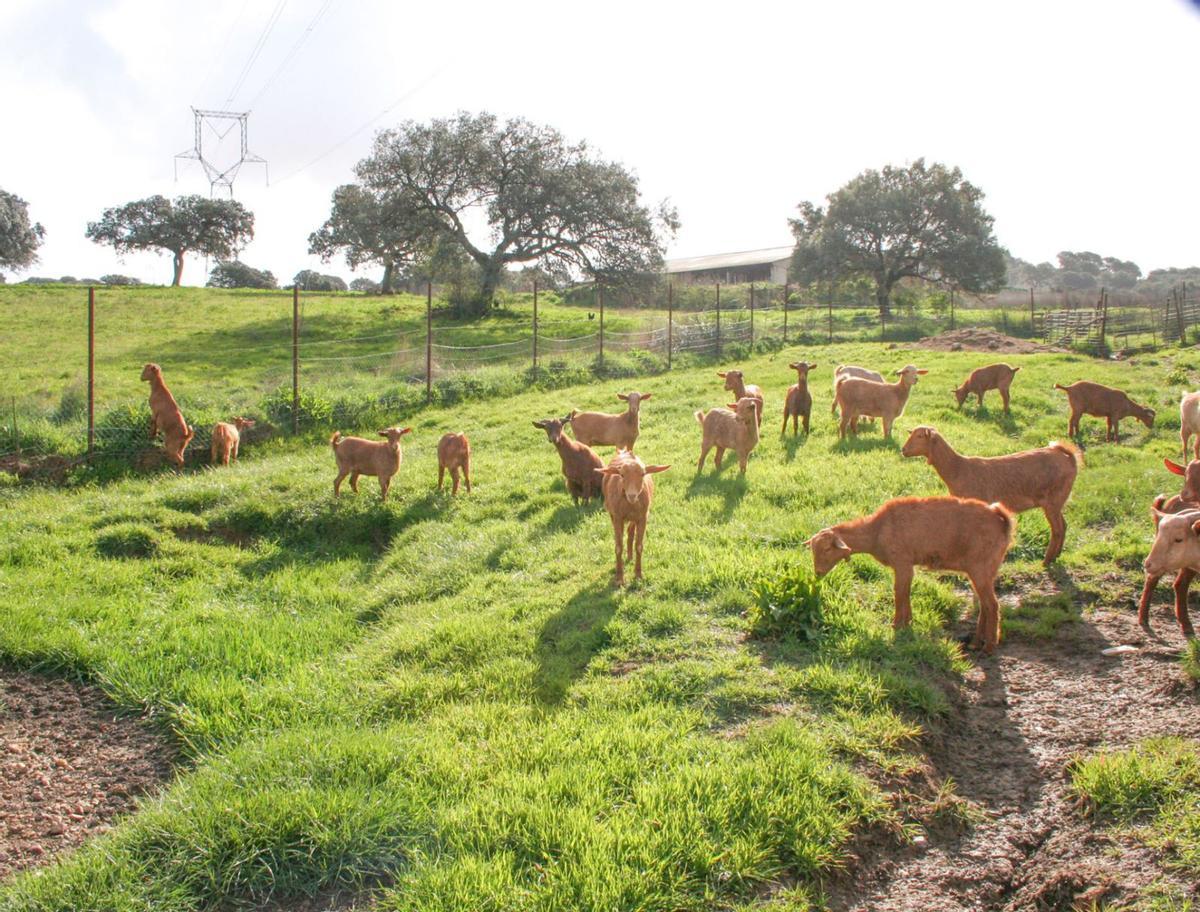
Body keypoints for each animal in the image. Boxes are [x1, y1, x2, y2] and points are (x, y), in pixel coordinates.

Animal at [597, 446, 672, 583]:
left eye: (643, 474)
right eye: (622, 475)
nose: (632, 495)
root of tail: (624, 451)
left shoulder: (643, 517)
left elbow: (639, 546)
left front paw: (638, 575)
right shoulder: (617, 517)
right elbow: (618, 547)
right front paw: (619, 578)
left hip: (634, 517)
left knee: (630, 532)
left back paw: (630, 557)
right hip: (614, 515)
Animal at [806, 494, 1012, 652]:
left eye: (827, 549)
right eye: (813, 549)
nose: (818, 572)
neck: (877, 531)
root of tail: (1003, 522)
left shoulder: (902, 563)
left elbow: (899, 593)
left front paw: (897, 626)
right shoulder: (907, 566)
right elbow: (906, 592)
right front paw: (908, 624)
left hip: (980, 569)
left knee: (992, 605)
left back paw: (989, 646)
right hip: (985, 570)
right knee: (985, 605)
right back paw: (976, 643)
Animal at [902, 424, 1084, 564]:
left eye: (919, 436)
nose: (903, 450)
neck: (958, 469)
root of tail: (1068, 455)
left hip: (1053, 500)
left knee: (1057, 529)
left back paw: (1046, 561)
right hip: (1058, 501)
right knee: (1064, 525)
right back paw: (1056, 556)